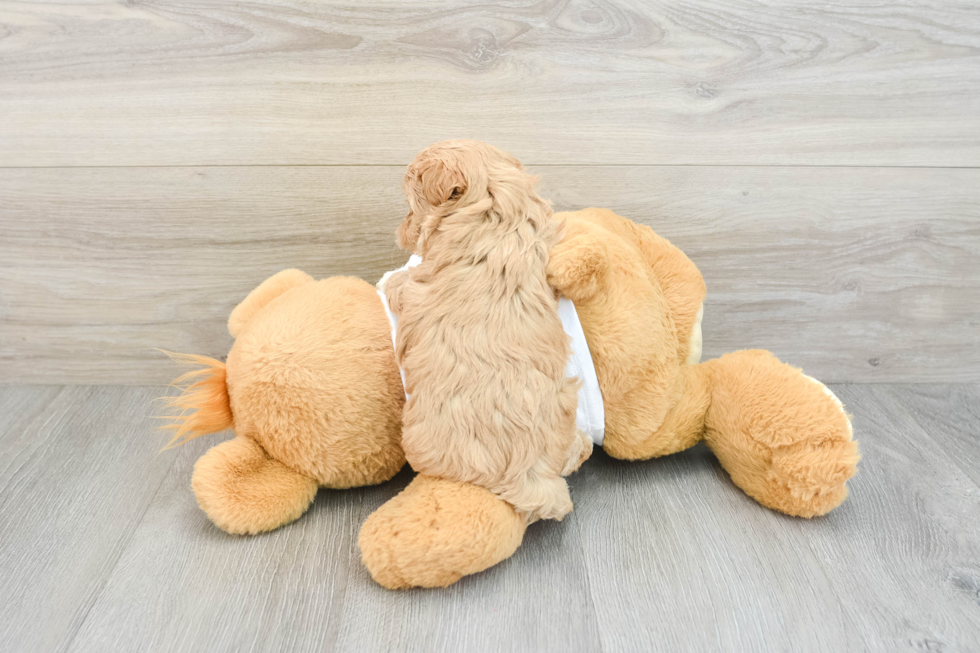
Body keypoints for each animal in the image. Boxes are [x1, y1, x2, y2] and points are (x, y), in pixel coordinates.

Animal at [382, 140, 592, 524]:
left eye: (410, 206)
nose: (401, 229)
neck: (494, 211)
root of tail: (525, 473)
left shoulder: (420, 286)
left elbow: (402, 283)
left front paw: (390, 278)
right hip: (564, 405)